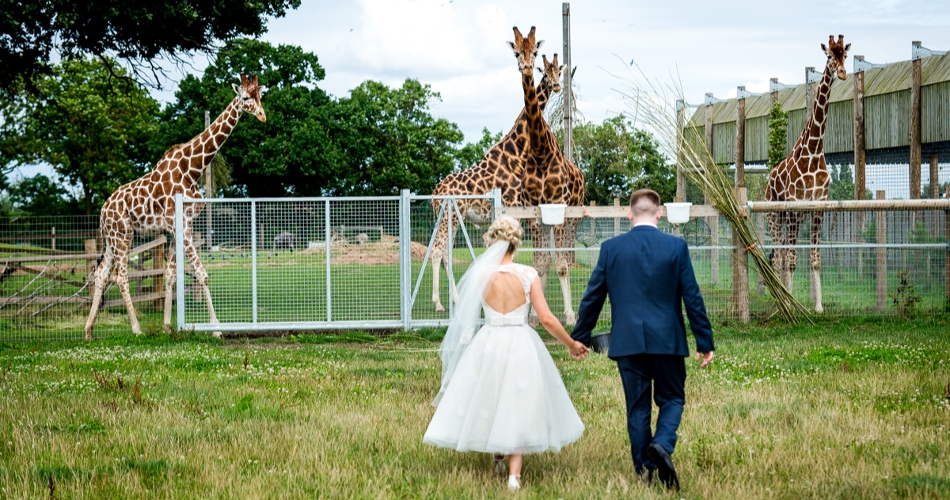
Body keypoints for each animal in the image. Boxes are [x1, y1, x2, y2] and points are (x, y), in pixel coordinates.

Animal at [85, 73, 266, 340]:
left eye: (260, 96)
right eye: (244, 97)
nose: (262, 115)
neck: (193, 169)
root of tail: (102, 211)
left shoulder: (175, 228)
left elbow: (170, 275)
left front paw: (167, 326)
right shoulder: (182, 224)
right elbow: (202, 274)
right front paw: (216, 329)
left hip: (110, 239)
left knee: (100, 275)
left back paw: (88, 331)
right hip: (123, 235)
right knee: (120, 276)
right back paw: (137, 329)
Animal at [434, 29, 564, 310]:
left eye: (559, 72)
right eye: (546, 73)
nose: (557, 86)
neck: (516, 152)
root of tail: (433, 194)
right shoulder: (515, 209)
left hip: (448, 218)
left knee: (443, 252)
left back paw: (451, 300)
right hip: (450, 216)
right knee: (440, 251)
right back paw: (443, 303)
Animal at [512, 28, 588, 324]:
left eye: (535, 52)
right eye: (516, 52)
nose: (525, 67)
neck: (541, 152)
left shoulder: (559, 208)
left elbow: (562, 265)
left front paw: (569, 316)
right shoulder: (534, 212)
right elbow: (539, 264)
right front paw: (533, 316)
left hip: (573, 217)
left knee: (566, 255)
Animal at [768, 36, 852, 312]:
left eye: (845, 55)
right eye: (828, 56)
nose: (842, 73)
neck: (814, 151)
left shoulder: (818, 207)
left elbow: (814, 259)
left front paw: (818, 307)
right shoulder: (794, 207)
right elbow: (792, 259)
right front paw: (792, 305)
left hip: (797, 216)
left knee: (783, 251)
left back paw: (784, 297)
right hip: (775, 214)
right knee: (779, 255)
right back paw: (781, 301)